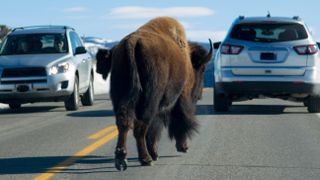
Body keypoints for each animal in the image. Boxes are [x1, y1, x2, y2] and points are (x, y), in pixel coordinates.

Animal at [96, 16, 214, 170]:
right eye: (202, 69)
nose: (199, 95)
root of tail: (131, 43)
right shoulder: (178, 99)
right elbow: (177, 120)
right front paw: (181, 147)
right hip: (149, 100)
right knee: (140, 126)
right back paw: (146, 159)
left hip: (120, 96)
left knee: (124, 123)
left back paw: (122, 159)